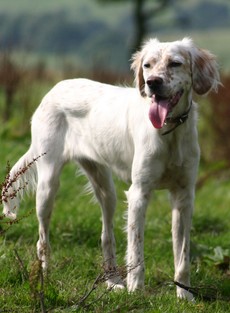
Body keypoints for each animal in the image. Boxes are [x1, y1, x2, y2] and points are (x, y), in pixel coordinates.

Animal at [2, 37, 220, 298]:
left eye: (175, 63)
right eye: (147, 65)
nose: (152, 83)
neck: (170, 132)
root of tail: (54, 89)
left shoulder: (184, 195)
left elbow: (183, 254)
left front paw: (184, 294)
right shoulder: (139, 193)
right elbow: (136, 250)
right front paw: (136, 291)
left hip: (106, 189)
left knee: (107, 236)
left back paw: (113, 281)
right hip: (48, 185)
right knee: (42, 238)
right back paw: (45, 275)